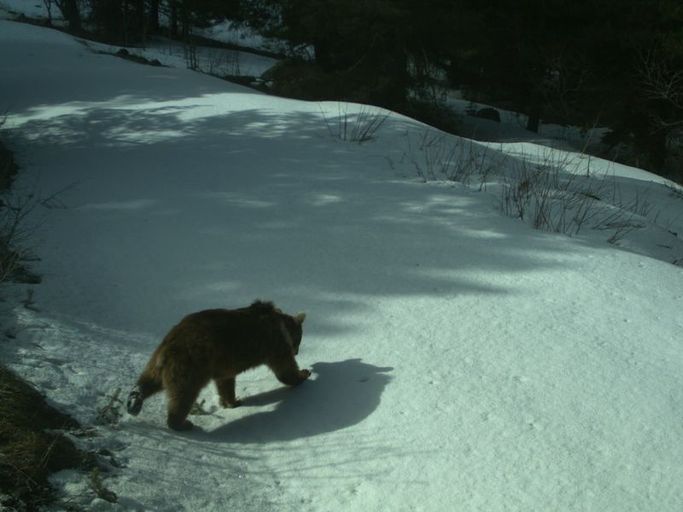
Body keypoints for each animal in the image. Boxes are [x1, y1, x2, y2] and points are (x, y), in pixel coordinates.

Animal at [126, 300, 310, 431]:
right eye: (299, 340)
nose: (296, 352)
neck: (281, 326)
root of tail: (168, 346)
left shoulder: (224, 365)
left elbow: (225, 384)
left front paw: (233, 401)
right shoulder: (274, 345)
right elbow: (285, 370)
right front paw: (304, 373)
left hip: (160, 362)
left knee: (148, 380)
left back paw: (134, 400)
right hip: (191, 365)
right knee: (182, 396)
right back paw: (182, 424)